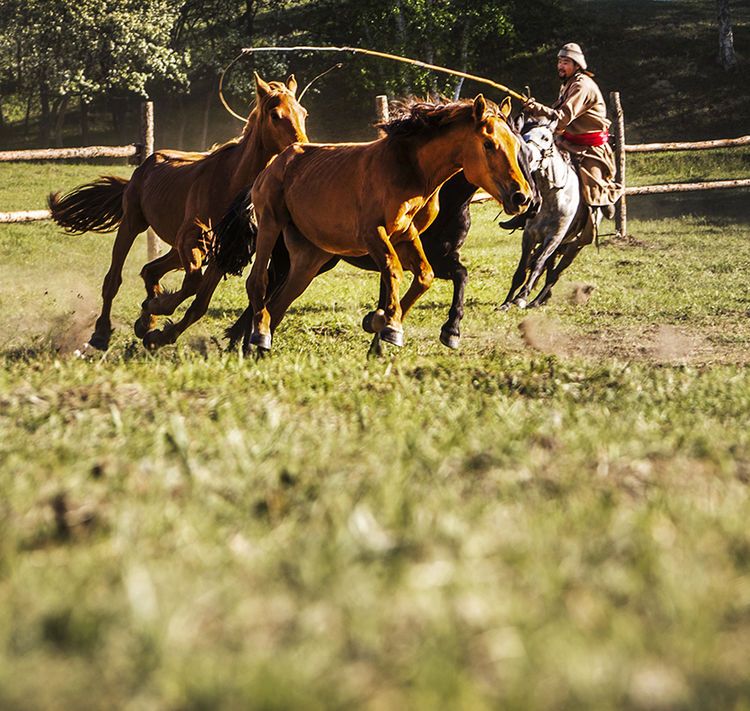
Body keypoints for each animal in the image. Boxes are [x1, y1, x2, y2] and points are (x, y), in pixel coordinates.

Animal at [47, 73, 308, 352]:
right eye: (275, 114)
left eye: (303, 112)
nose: (302, 148)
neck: (229, 182)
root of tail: (146, 164)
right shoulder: (191, 238)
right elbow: (192, 284)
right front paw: (158, 307)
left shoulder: (223, 253)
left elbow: (199, 304)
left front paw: (158, 332)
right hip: (132, 224)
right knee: (113, 280)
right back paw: (102, 332)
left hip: (175, 249)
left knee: (150, 270)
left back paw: (146, 322)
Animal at [502, 118, 604, 310]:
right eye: (523, 135)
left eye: (546, 138)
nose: (527, 158)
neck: (552, 197)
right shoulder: (530, 236)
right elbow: (522, 269)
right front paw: (506, 303)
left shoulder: (554, 238)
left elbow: (537, 265)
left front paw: (521, 297)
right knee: (549, 268)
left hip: (574, 246)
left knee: (554, 274)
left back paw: (537, 300)